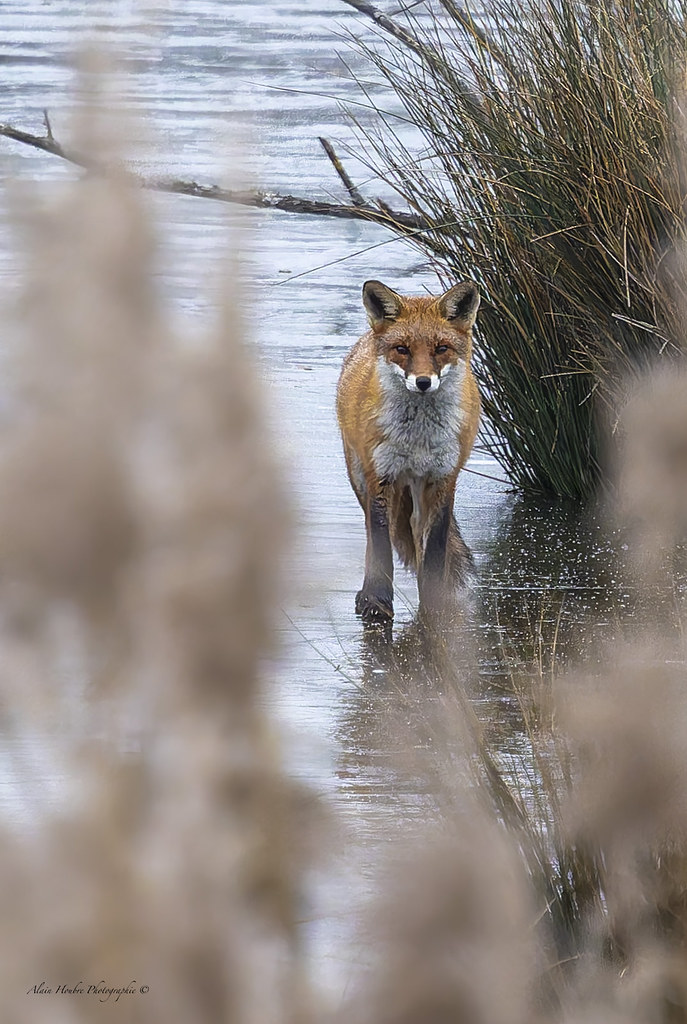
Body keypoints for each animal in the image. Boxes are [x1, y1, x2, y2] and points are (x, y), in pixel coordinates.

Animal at [336, 278, 481, 624]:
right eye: (402, 349)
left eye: (441, 349)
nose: (423, 382)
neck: (418, 439)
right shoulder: (381, 477)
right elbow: (380, 544)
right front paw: (377, 603)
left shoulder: (443, 477)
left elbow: (435, 550)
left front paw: (434, 605)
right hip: (360, 476)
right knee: (375, 530)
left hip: (416, 488)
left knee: (416, 531)